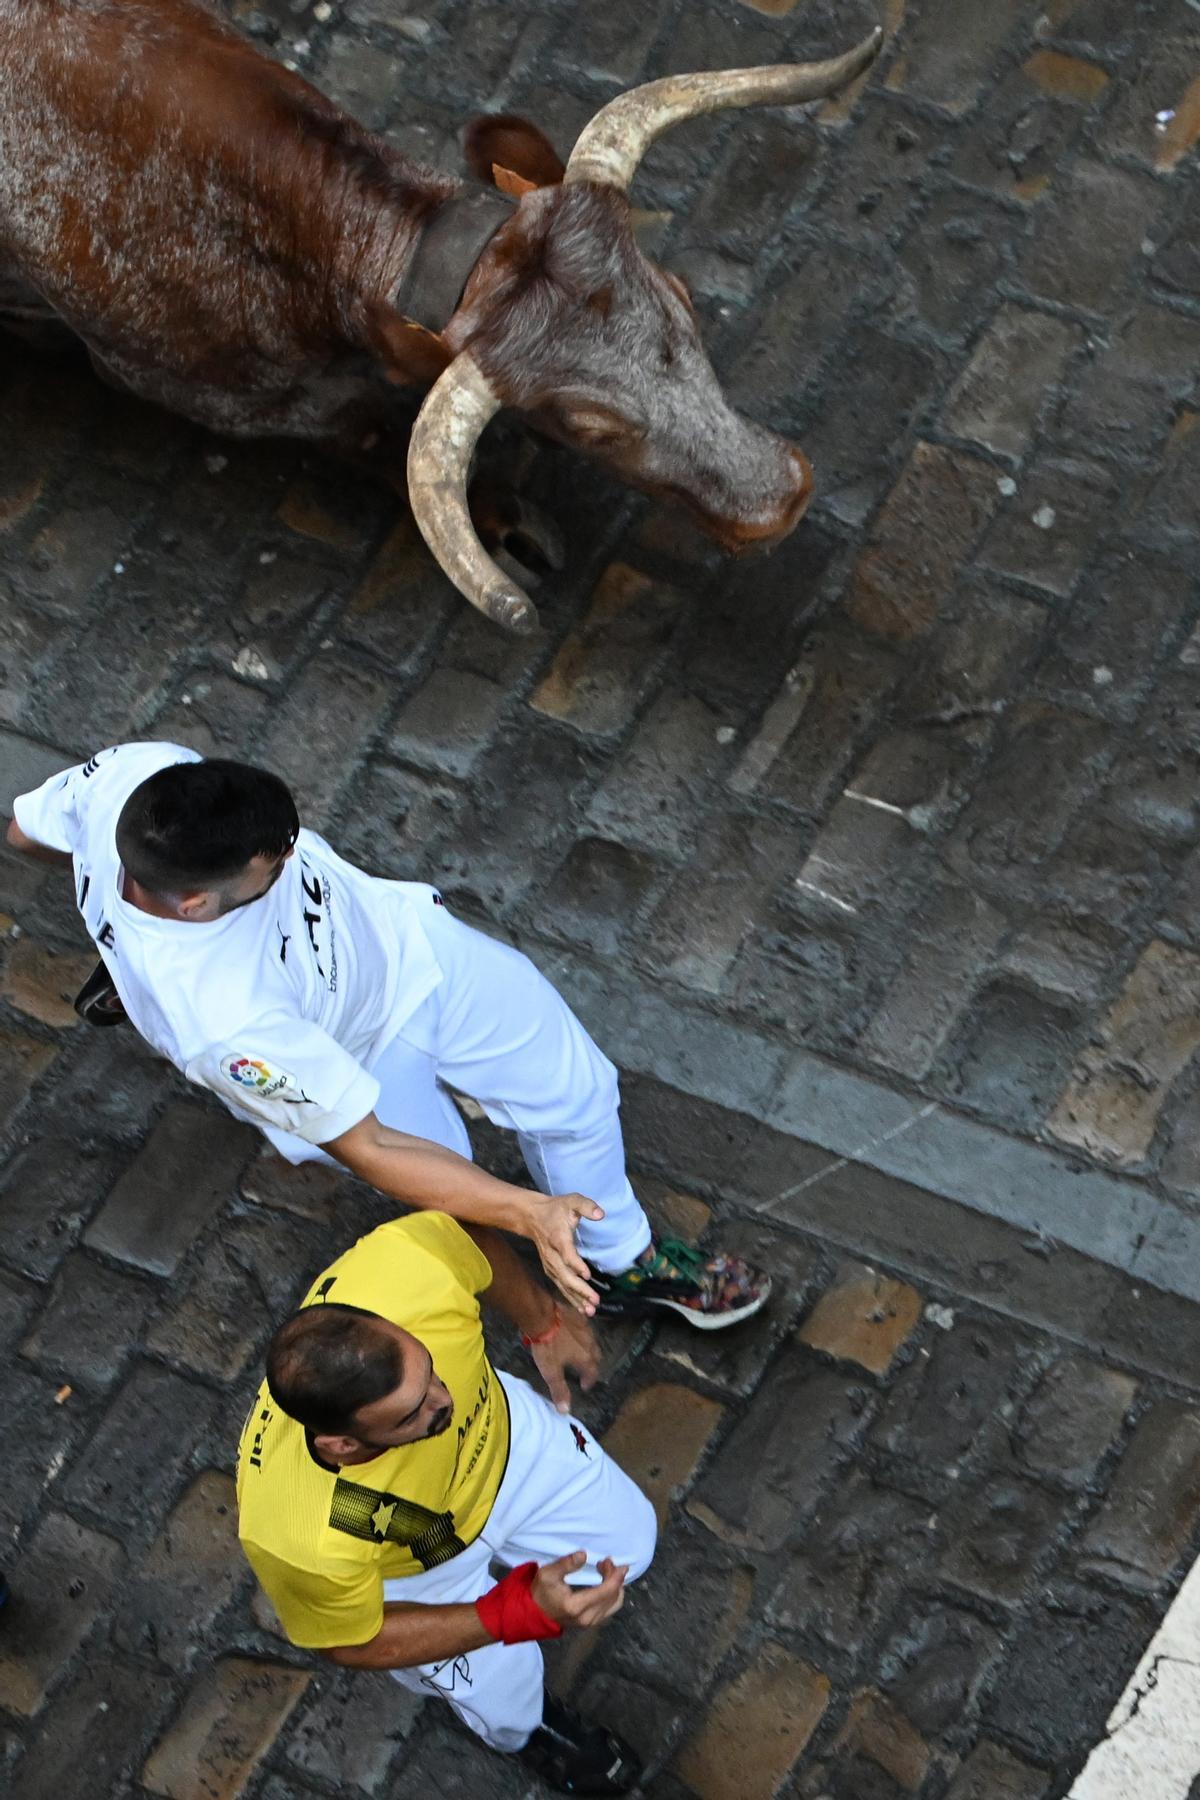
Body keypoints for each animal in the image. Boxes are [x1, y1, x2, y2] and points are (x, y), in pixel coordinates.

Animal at [0, 1, 881, 633]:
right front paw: (503, 523)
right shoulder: (229, 395)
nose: (781, 498)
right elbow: (373, 435)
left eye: (683, 297)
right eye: (587, 426)